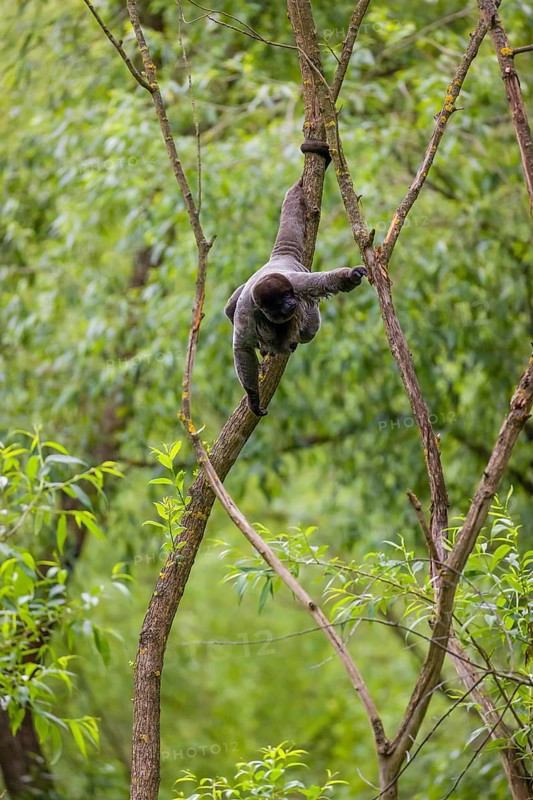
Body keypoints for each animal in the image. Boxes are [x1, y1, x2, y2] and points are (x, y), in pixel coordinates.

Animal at [225, 144, 367, 416]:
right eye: (280, 301)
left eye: (289, 296)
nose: (291, 303)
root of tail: (279, 258)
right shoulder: (247, 312)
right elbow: (242, 347)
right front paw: (253, 398)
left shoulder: (297, 283)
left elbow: (323, 282)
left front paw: (350, 276)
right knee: (229, 308)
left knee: (309, 328)